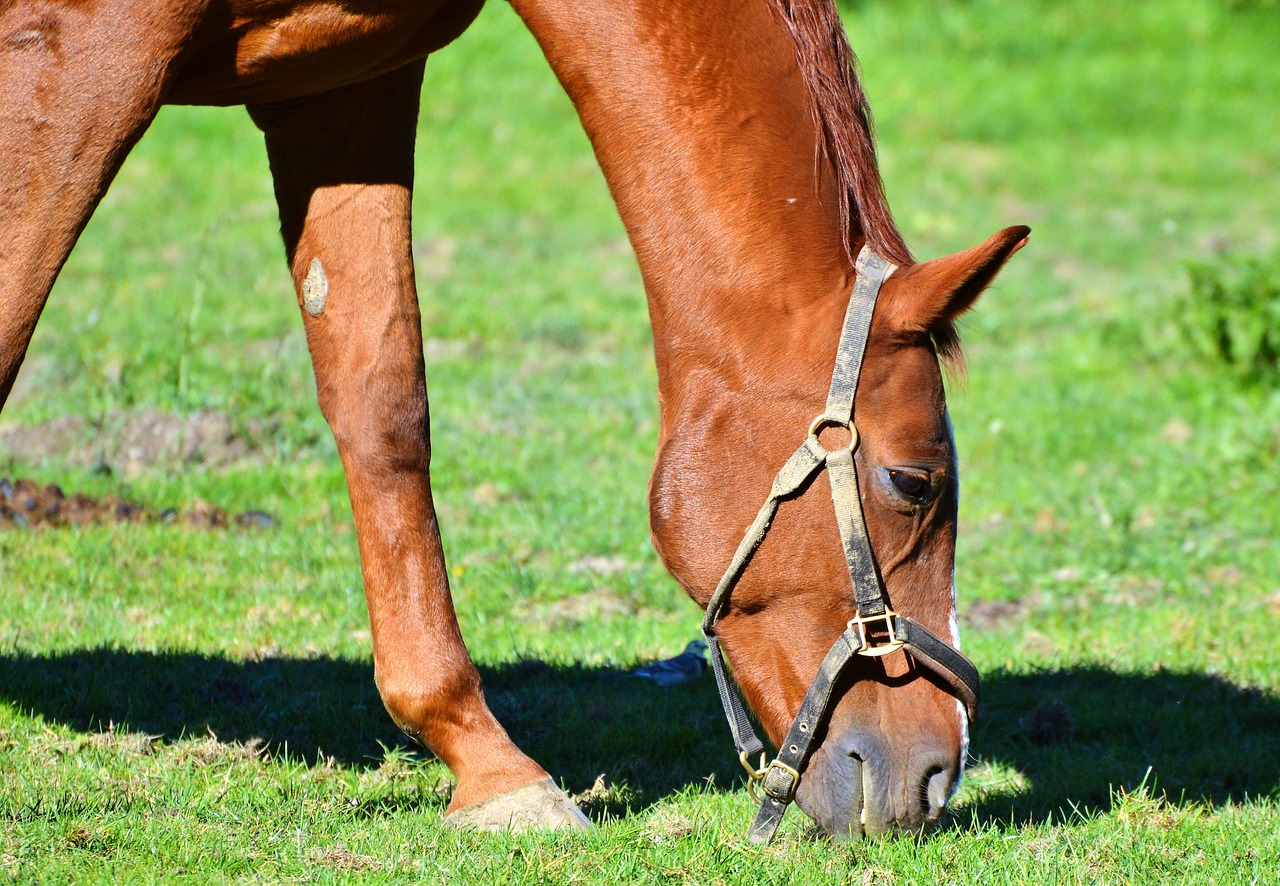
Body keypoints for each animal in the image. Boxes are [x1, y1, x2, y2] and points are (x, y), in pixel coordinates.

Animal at [0, 0, 1024, 839]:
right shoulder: (78, 50)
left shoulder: (341, 81)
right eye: (913, 482)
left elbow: (383, 402)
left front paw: (487, 766)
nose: (937, 775)